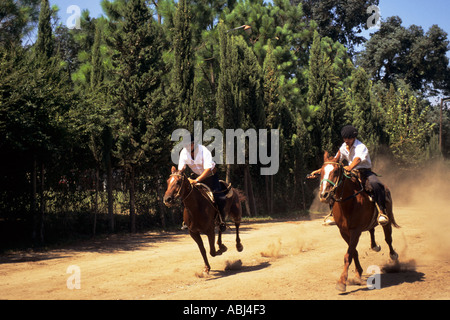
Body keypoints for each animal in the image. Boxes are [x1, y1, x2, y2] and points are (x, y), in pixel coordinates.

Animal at [318, 152, 400, 292]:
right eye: (322, 171)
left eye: (336, 171)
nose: (324, 195)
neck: (349, 202)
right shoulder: (344, 231)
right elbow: (353, 252)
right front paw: (357, 274)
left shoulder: (355, 231)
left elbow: (348, 254)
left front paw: (342, 282)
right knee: (372, 230)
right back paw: (374, 246)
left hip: (387, 219)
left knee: (388, 238)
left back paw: (393, 255)